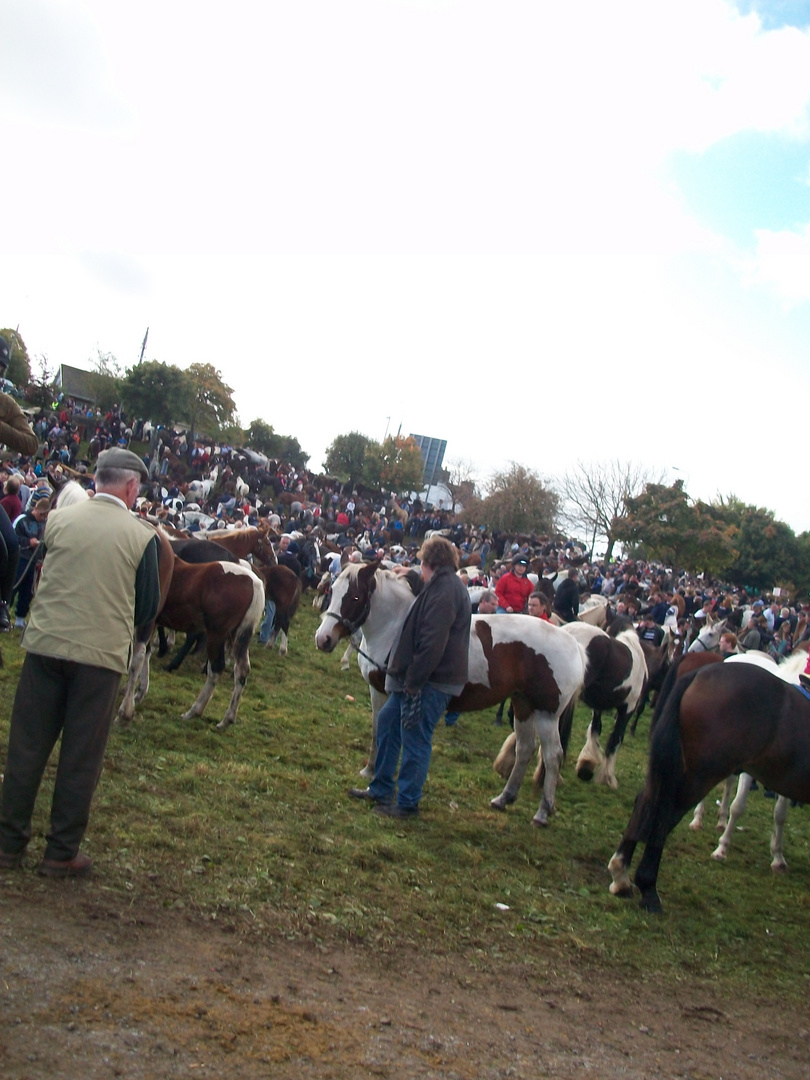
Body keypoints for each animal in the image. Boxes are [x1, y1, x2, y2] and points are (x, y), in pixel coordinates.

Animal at [313, 557, 587, 825]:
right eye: (332, 590)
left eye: (355, 597)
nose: (323, 639)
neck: (395, 628)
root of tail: (574, 644)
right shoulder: (377, 692)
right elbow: (377, 731)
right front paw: (370, 772)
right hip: (523, 705)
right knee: (526, 748)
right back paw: (504, 798)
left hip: (547, 715)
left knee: (552, 756)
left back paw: (542, 812)